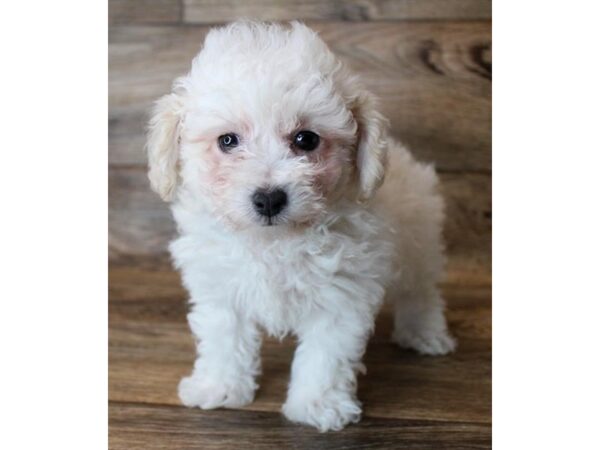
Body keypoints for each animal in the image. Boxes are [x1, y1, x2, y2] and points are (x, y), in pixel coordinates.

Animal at [145, 21, 454, 432]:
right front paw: (220, 386)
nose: (269, 199)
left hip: (419, 238)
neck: (275, 240)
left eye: (306, 139)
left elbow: (326, 354)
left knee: (421, 292)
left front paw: (317, 405)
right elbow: (225, 336)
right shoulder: (221, 285)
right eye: (227, 140)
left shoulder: (341, 294)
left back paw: (425, 333)